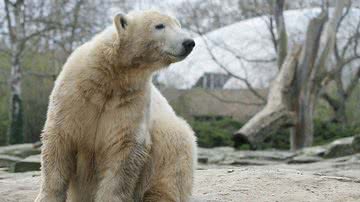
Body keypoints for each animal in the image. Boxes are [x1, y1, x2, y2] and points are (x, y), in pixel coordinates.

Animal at [36, 10, 197, 201]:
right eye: (160, 25)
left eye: (178, 25)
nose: (189, 42)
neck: (109, 78)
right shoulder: (74, 95)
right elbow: (59, 140)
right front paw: (47, 196)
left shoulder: (131, 101)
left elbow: (124, 148)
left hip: (170, 139)